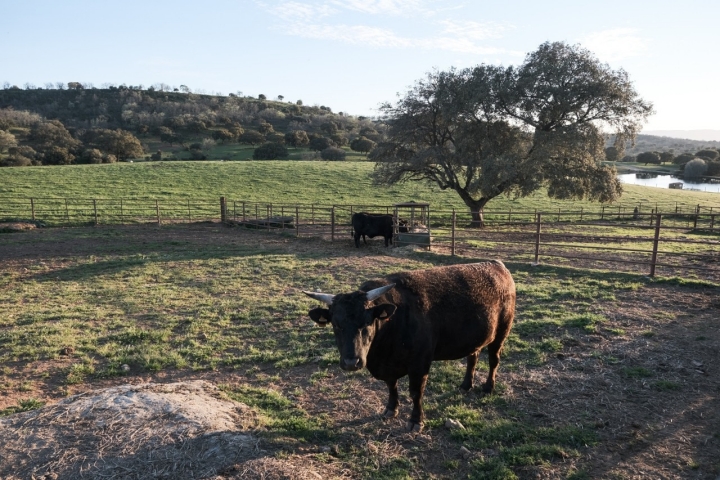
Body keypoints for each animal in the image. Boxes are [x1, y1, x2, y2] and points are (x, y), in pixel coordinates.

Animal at [303, 260, 516, 432]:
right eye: (336, 324)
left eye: (368, 322)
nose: (351, 362)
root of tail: (497, 265)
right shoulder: (389, 366)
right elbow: (391, 386)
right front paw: (391, 409)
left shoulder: (419, 364)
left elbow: (415, 392)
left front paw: (416, 420)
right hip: (476, 338)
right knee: (473, 357)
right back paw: (465, 385)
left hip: (501, 332)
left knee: (493, 360)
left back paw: (488, 387)